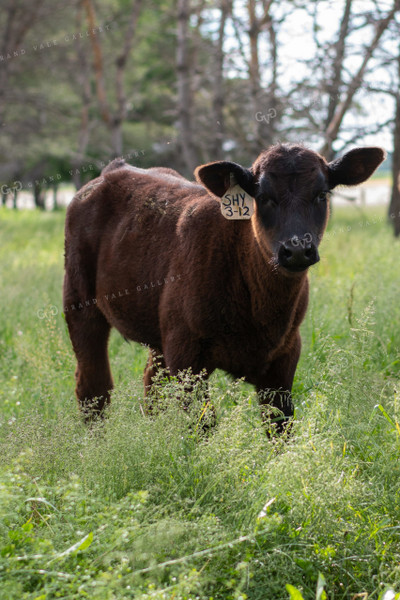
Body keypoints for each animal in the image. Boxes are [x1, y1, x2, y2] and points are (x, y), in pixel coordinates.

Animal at [64, 144, 386, 426]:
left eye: (321, 194)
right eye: (263, 196)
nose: (296, 250)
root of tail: (112, 170)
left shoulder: (285, 355)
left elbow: (280, 425)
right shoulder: (186, 355)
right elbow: (203, 425)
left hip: (158, 334)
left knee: (151, 387)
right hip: (79, 303)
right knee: (94, 388)